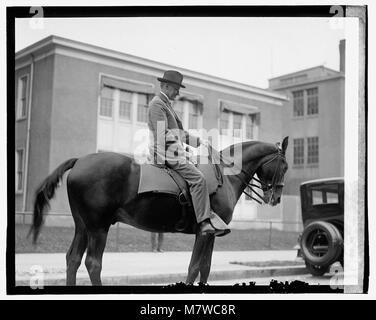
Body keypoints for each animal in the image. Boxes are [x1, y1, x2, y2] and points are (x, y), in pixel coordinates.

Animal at [30, 137, 290, 284]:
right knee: (93, 264)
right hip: (98, 228)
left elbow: (205, 269)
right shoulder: (204, 232)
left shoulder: (212, 235)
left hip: (83, 226)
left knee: (72, 260)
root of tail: (80, 161)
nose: (276, 197)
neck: (224, 177)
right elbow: (194, 268)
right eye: (285, 166)